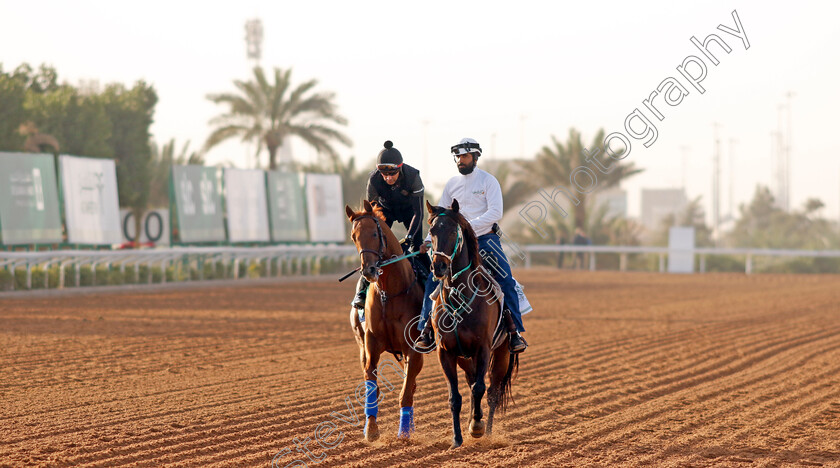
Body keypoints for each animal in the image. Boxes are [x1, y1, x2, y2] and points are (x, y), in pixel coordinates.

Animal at [344, 199, 426, 440]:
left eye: (374, 233)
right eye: (354, 236)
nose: (369, 270)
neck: (390, 293)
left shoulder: (413, 349)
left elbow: (405, 392)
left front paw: (404, 432)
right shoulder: (371, 345)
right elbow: (372, 386)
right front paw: (371, 430)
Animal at [426, 199, 520, 448]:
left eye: (453, 231)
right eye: (432, 231)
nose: (438, 267)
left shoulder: (483, 349)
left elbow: (480, 388)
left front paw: (477, 428)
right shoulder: (446, 353)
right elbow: (454, 397)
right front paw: (457, 439)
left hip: (502, 353)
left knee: (492, 392)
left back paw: (485, 430)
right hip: (464, 358)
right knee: (470, 385)